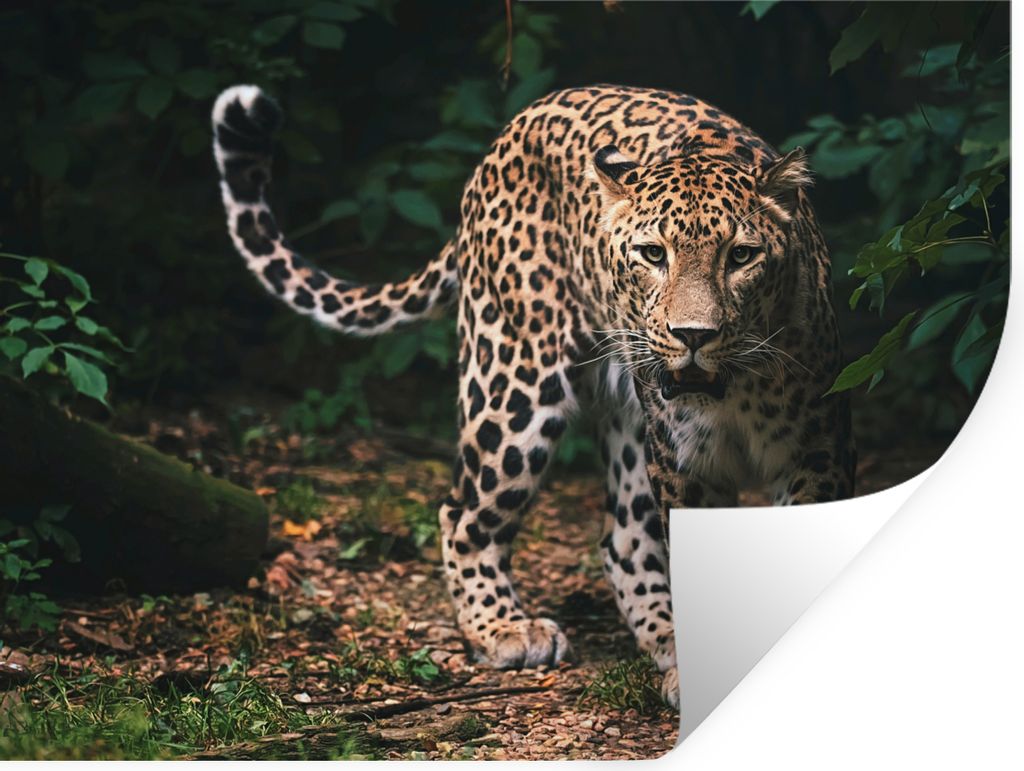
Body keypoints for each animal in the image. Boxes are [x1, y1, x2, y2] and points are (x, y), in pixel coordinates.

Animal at [211, 83, 856, 708]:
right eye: (653, 254)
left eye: (741, 256)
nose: (692, 336)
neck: (734, 391)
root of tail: (512, 129)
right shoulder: (685, 466)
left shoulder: (816, 451)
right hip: (514, 383)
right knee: (463, 512)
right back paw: (505, 630)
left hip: (626, 419)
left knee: (622, 537)